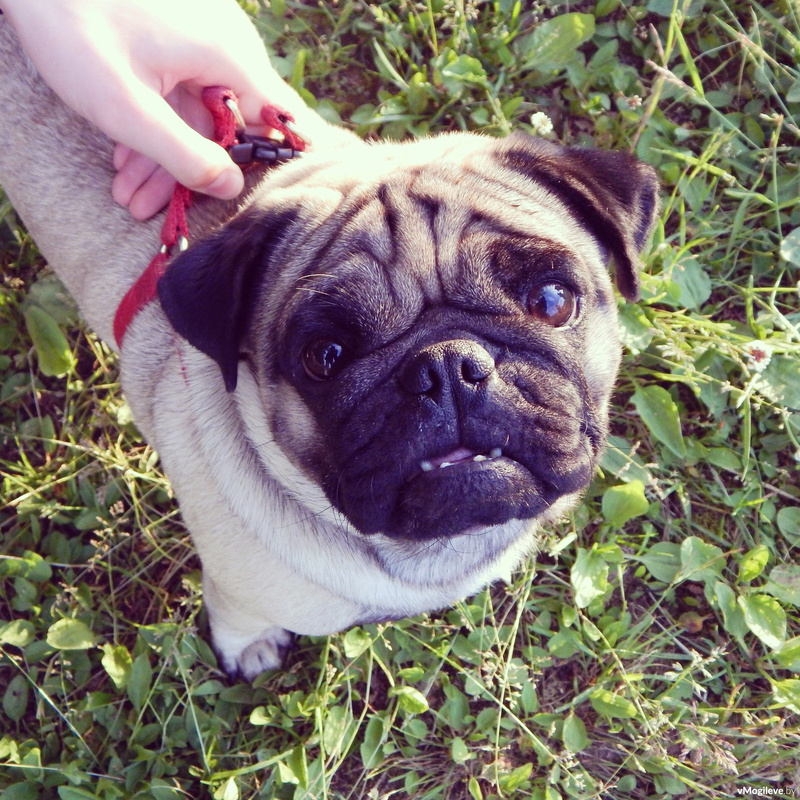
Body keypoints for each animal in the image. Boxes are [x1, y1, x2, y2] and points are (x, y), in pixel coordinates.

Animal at [0, 20, 658, 680]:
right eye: (325, 357)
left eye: (551, 300)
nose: (447, 364)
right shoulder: (236, 584)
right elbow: (238, 614)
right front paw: (249, 649)